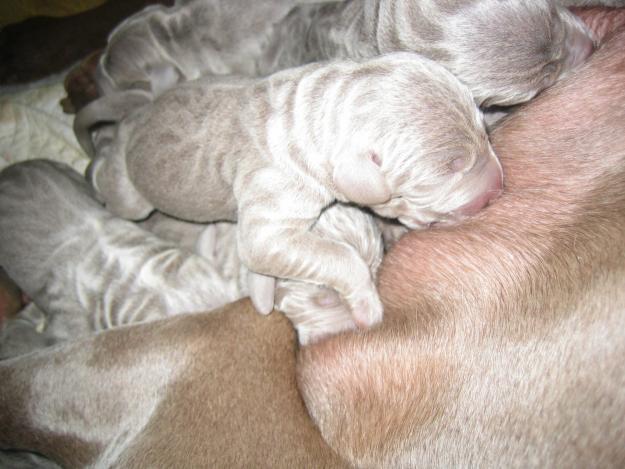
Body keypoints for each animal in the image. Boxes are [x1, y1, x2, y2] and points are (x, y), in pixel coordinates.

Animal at [86, 52, 502, 326]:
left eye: (485, 131)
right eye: (449, 169)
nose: (499, 187)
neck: (317, 112)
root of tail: (137, 116)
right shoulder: (271, 211)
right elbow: (335, 255)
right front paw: (366, 305)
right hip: (132, 192)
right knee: (113, 180)